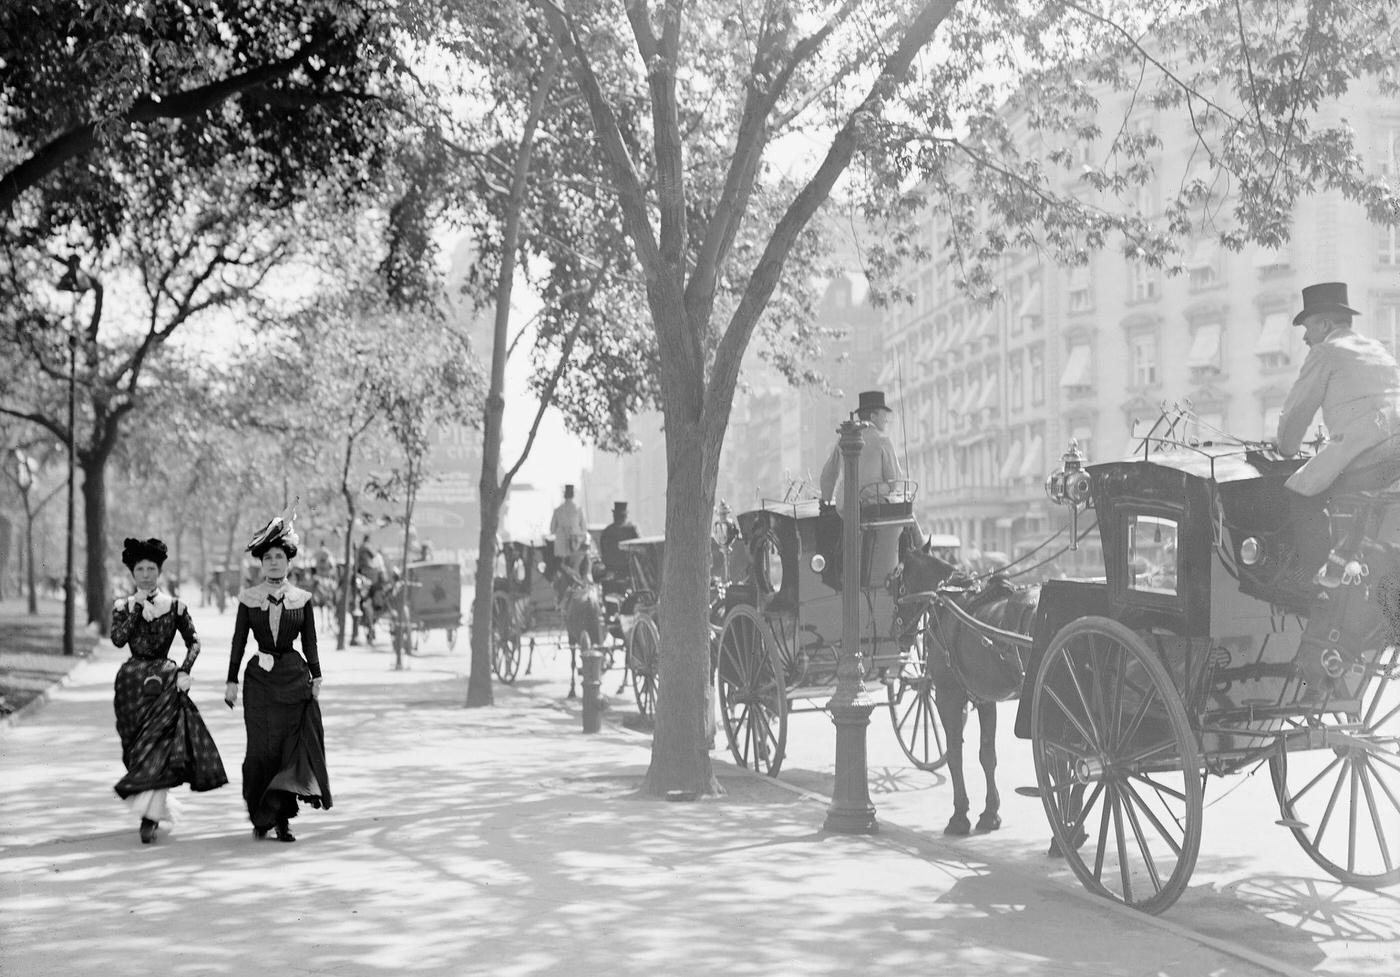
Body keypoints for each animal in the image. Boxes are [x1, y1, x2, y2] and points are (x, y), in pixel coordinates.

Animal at [896, 543, 1041, 834]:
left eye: (897, 583)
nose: (901, 633)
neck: (946, 599)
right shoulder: (985, 697)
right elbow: (987, 755)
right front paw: (990, 813)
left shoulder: (947, 694)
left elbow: (954, 753)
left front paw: (959, 815)